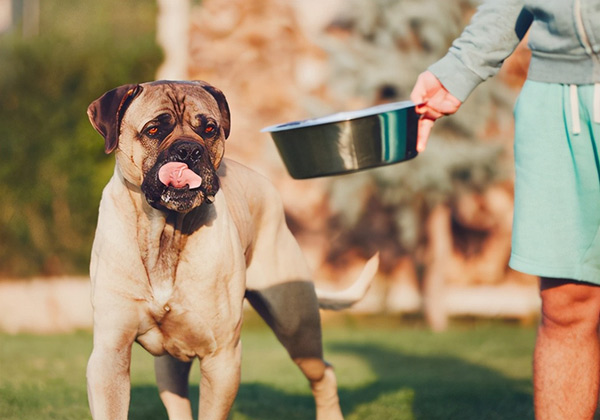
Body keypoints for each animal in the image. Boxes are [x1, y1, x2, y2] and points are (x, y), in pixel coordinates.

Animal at [85, 81, 378, 420]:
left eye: (209, 128)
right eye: (154, 129)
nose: (189, 150)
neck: (165, 232)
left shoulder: (221, 357)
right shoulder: (110, 353)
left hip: (297, 328)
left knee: (323, 373)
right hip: (171, 362)